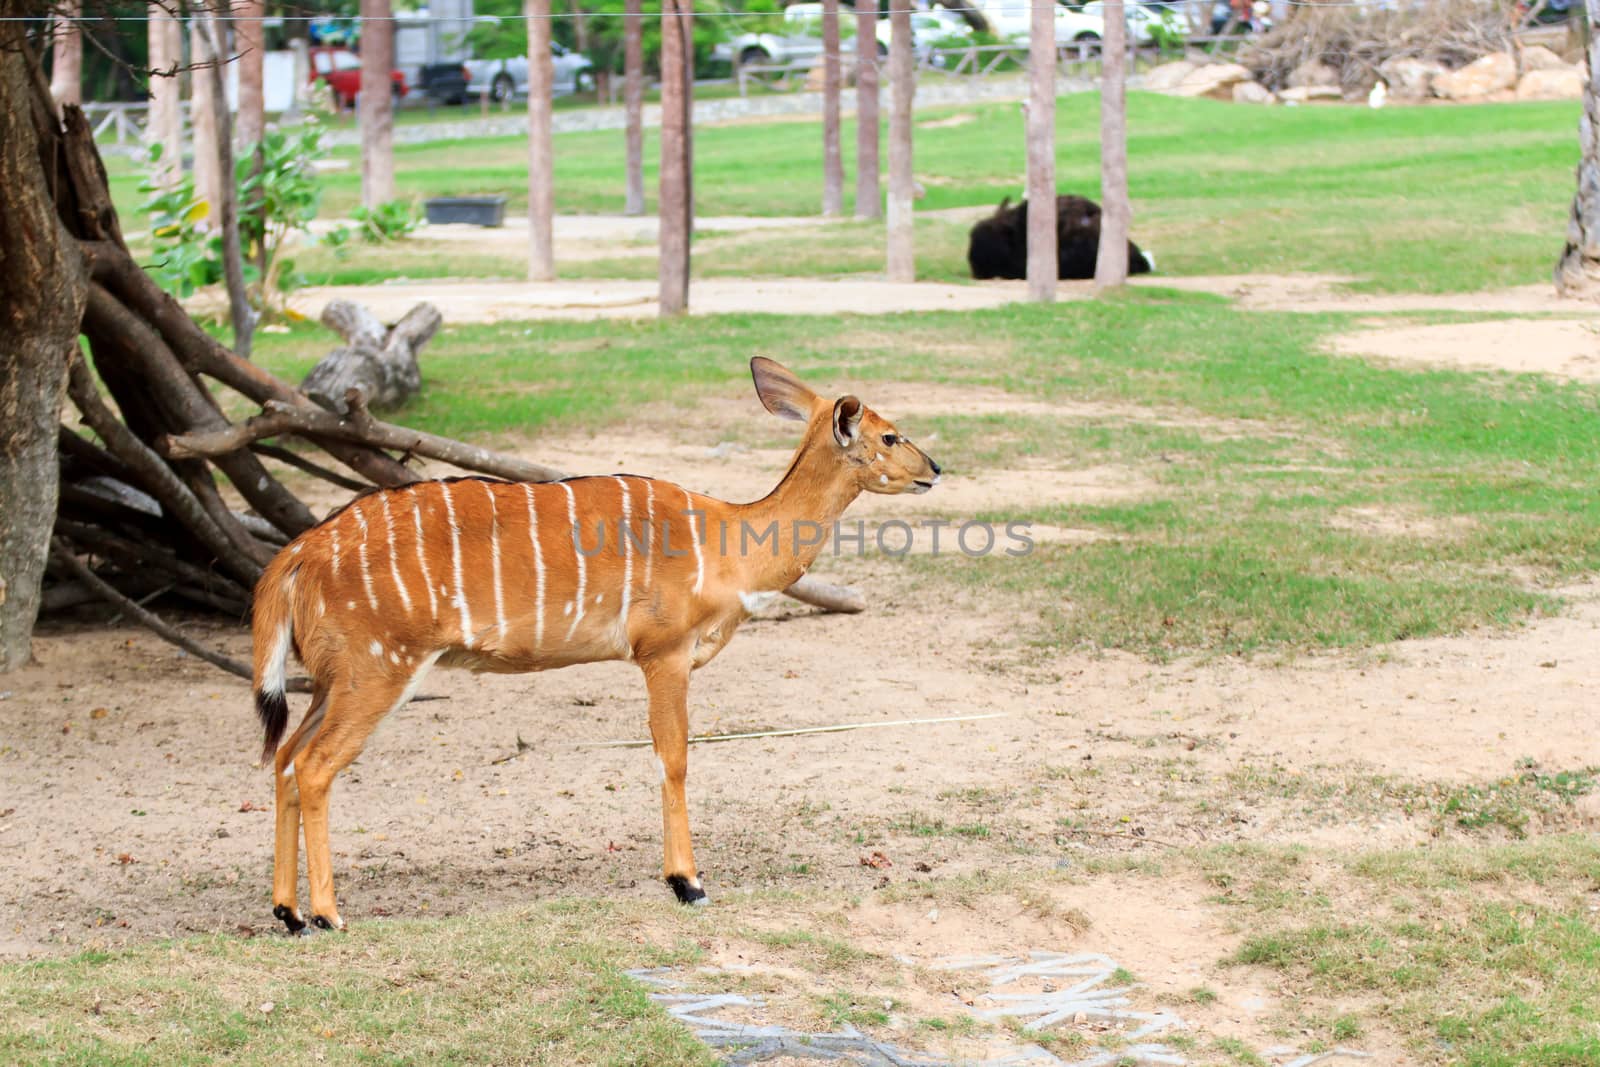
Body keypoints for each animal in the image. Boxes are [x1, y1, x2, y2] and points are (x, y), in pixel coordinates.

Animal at [252, 358, 934, 934]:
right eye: (890, 436)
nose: (935, 470)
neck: (730, 543)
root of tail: (296, 555)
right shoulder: (663, 652)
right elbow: (673, 757)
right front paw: (688, 883)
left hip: (334, 677)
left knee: (284, 756)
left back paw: (288, 914)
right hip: (378, 669)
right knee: (315, 766)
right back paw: (328, 915)